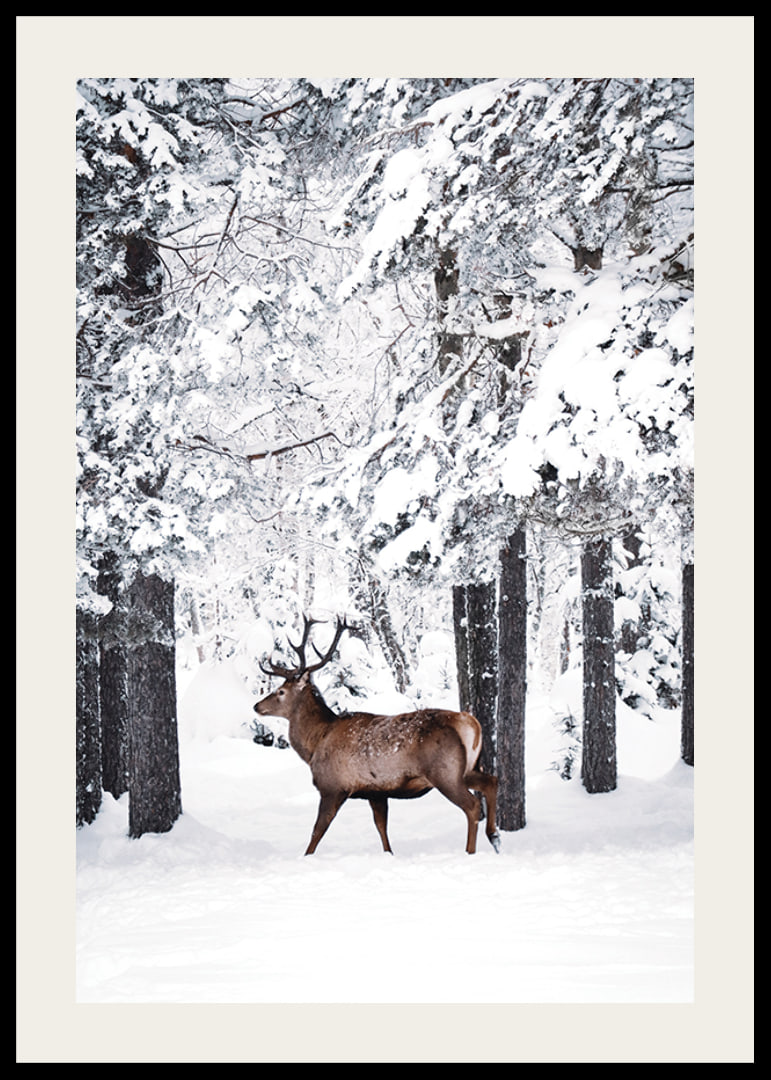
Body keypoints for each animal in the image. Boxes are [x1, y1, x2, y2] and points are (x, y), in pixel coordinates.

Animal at [253, 616, 501, 856]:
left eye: (280, 692)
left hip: (444, 772)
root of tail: (469, 722)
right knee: (492, 781)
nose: (257, 706)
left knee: (472, 806)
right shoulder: (376, 792)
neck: (315, 744)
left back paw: (471, 851)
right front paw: (389, 854)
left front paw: (306, 857)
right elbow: (381, 827)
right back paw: (494, 837)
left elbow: (317, 830)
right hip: (467, 768)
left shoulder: (332, 786)